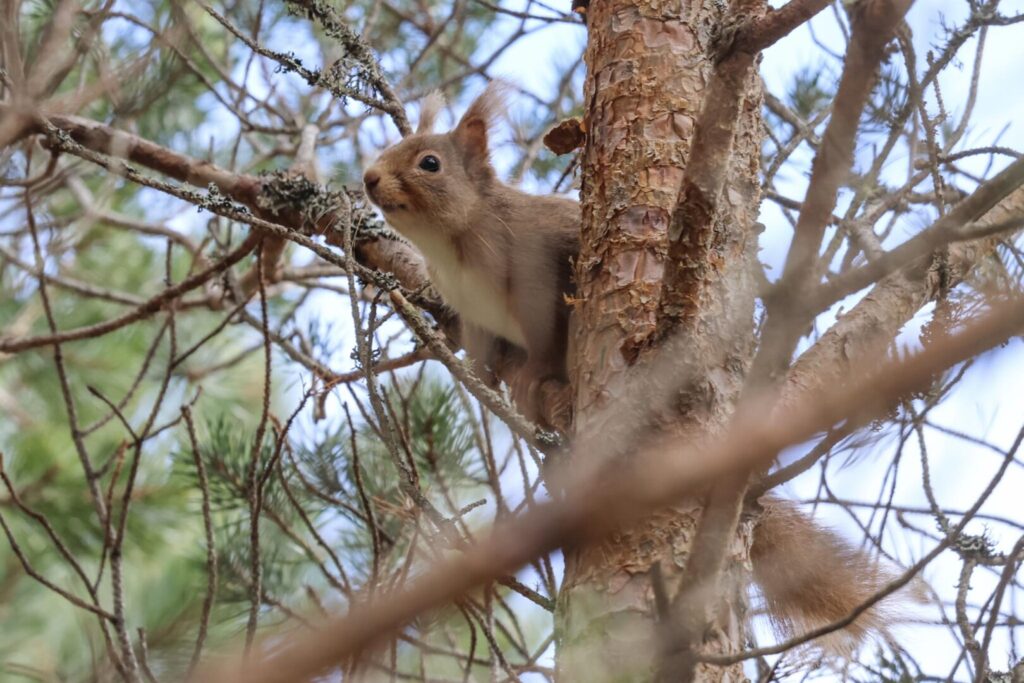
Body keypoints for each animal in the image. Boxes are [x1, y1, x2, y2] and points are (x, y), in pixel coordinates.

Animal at [363, 84, 909, 660]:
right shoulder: (474, 313)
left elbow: (544, 339)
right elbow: (482, 343)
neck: (453, 246)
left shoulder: (537, 272)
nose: (369, 178)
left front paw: (531, 377)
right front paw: (482, 370)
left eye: (430, 163)